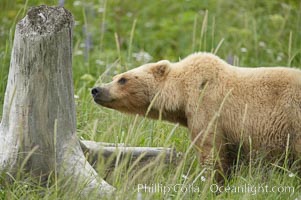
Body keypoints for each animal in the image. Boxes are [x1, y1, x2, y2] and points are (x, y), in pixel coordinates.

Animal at [91, 52, 300, 180]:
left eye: (123, 79)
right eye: (115, 77)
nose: (96, 89)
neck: (182, 95)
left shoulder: (208, 109)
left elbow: (211, 152)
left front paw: (209, 182)